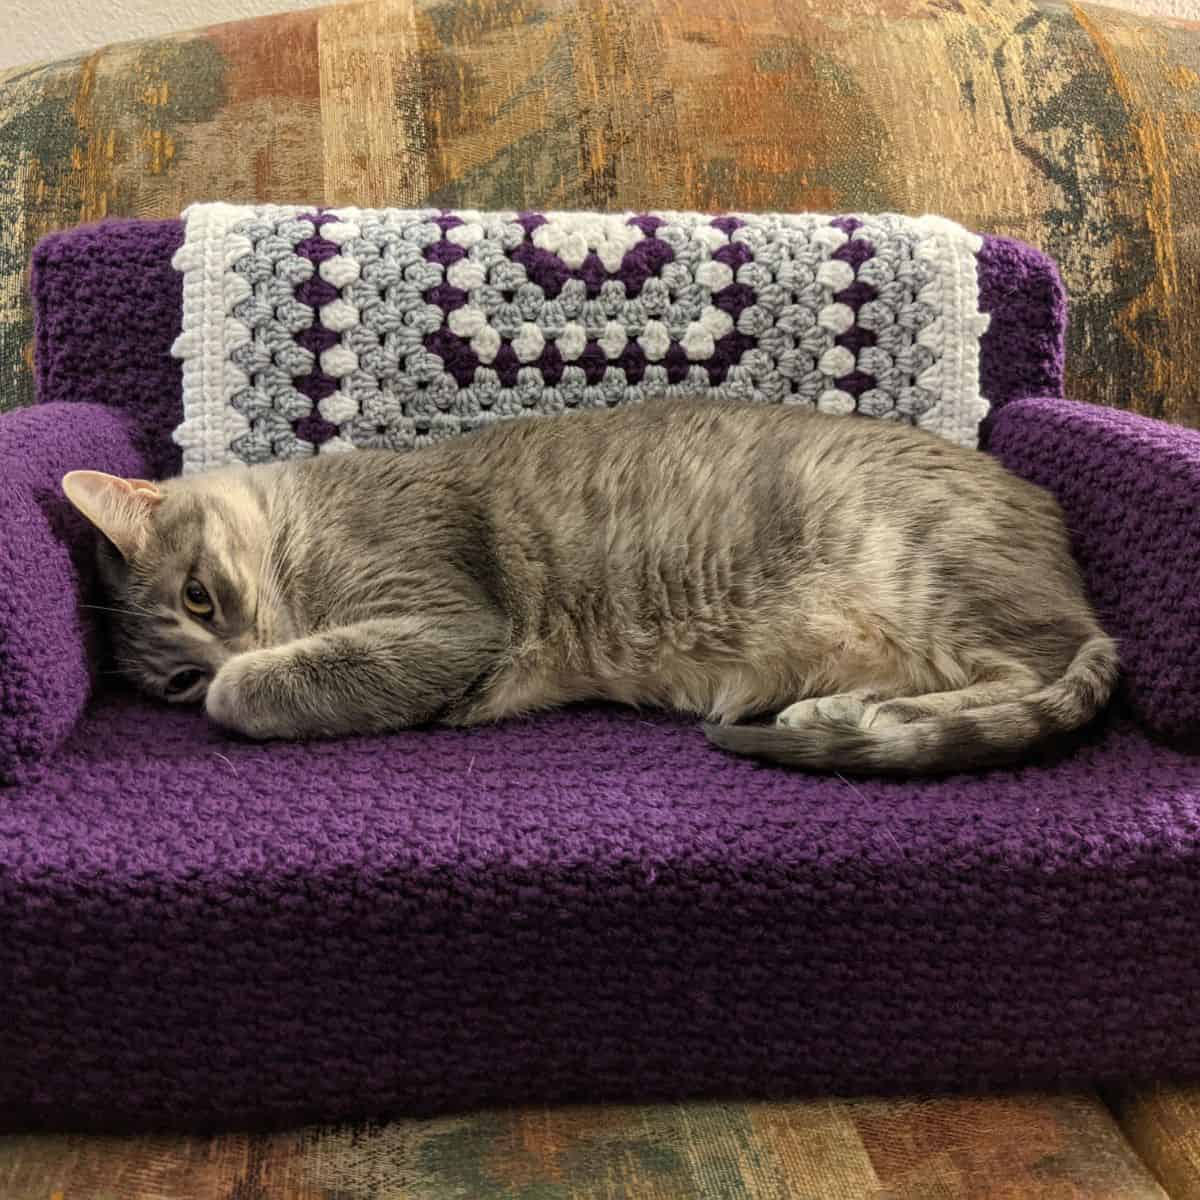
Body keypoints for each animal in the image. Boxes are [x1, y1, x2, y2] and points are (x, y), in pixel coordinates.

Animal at [60, 400, 1118, 777]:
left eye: (200, 597)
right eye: (174, 680)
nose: (219, 656)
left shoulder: (447, 621)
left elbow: (265, 690)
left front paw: (254, 678)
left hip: (925, 574)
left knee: (1030, 673)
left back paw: (866, 716)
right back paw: (839, 705)